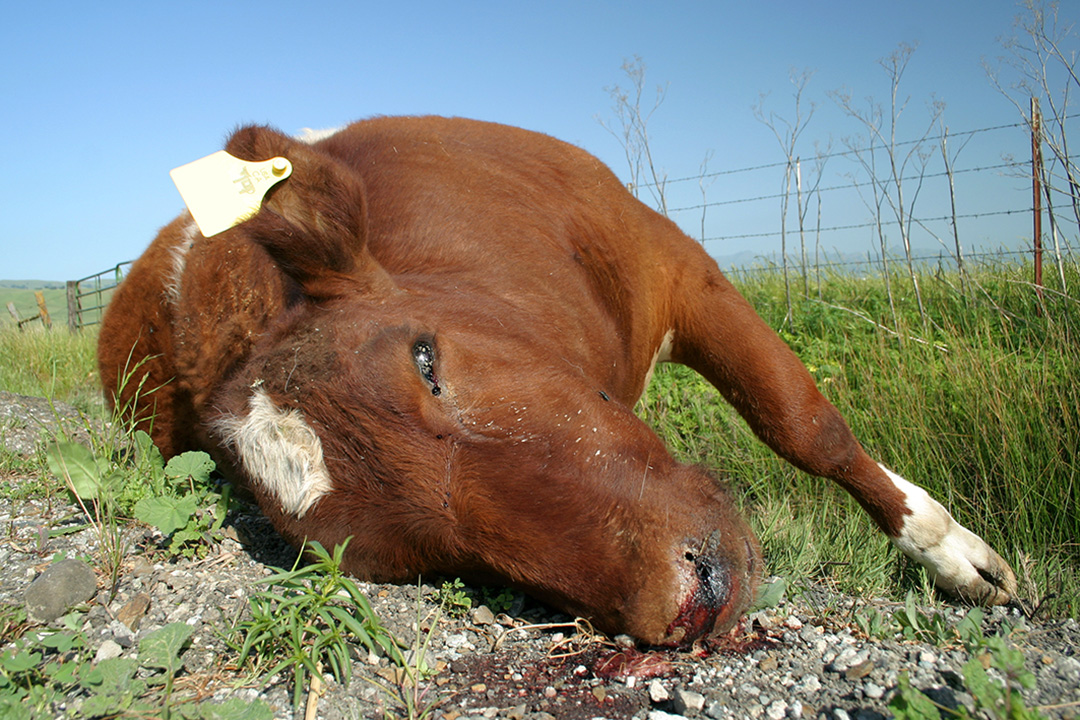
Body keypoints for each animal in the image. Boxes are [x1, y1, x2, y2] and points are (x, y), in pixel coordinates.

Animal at [97, 117, 1015, 647]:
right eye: (425, 555)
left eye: (426, 361)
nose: (690, 599)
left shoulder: (678, 264)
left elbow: (801, 423)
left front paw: (952, 553)